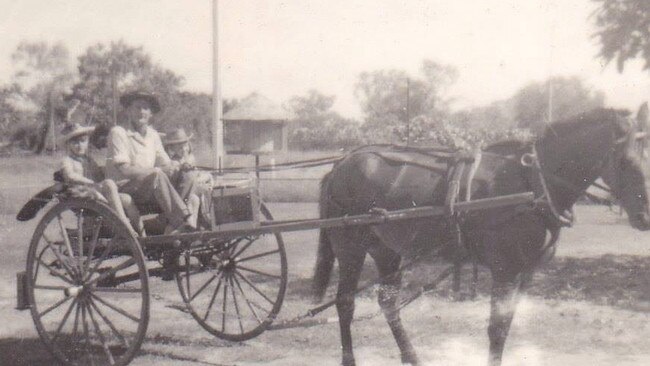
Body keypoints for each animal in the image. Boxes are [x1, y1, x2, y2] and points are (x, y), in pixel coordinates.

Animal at [312, 108, 644, 366]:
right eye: (626, 162)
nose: (645, 217)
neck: (532, 182)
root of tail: (340, 165)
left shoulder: (525, 272)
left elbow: (505, 326)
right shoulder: (505, 269)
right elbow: (496, 330)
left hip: (386, 250)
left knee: (387, 302)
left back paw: (411, 356)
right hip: (350, 247)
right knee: (345, 303)